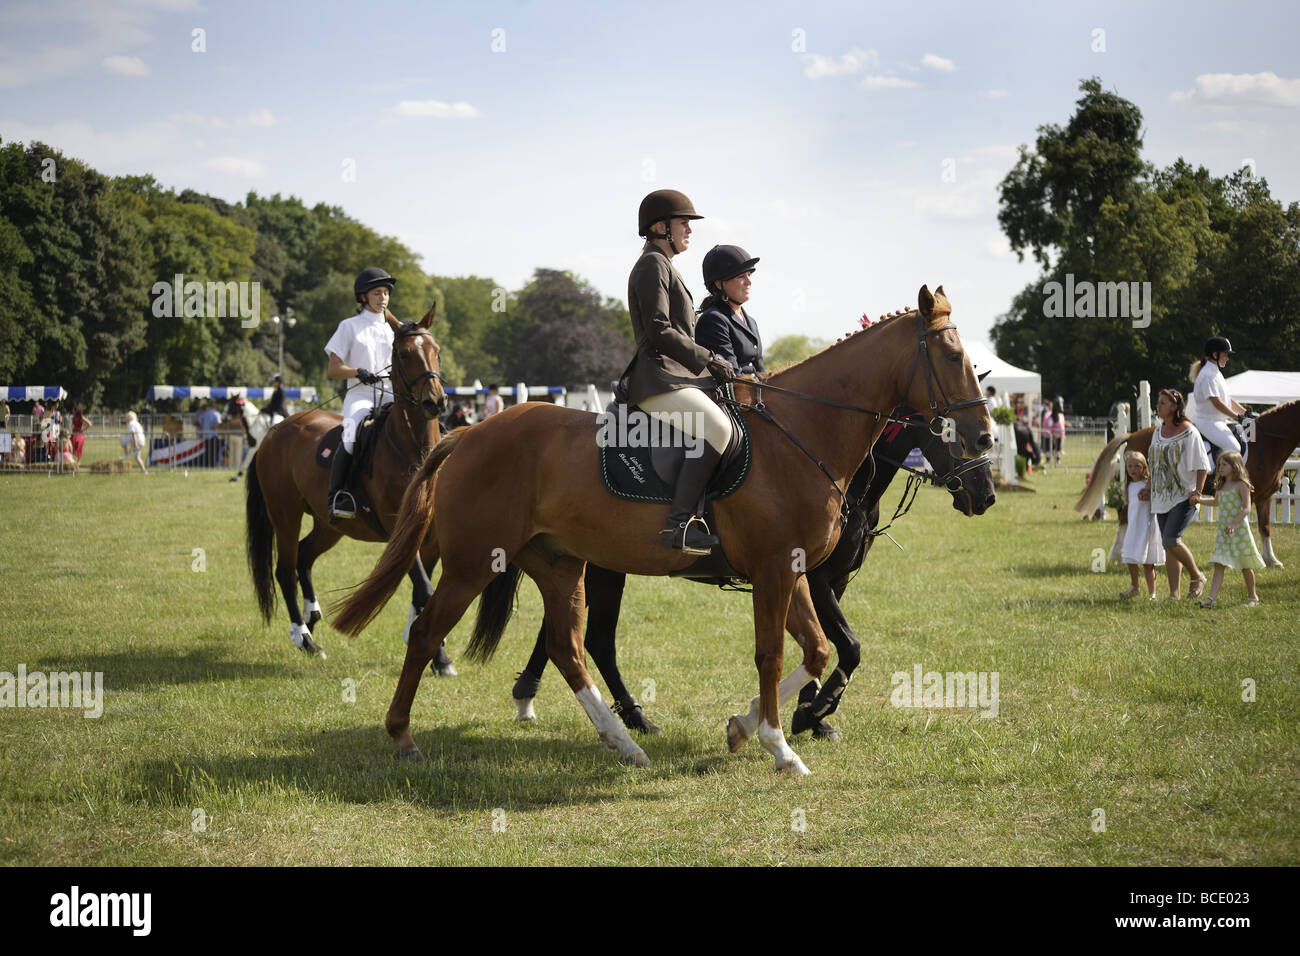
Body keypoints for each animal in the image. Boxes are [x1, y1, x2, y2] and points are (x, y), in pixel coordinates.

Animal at [245, 304, 449, 658]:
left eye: (435, 351)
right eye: (405, 354)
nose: (434, 402)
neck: (415, 450)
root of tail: (275, 430)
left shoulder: (431, 535)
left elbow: (422, 594)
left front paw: (426, 646)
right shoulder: (398, 529)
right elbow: (424, 589)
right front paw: (441, 658)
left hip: (329, 525)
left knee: (304, 556)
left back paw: (312, 617)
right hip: (285, 513)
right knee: (285, 568)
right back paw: (304, 637)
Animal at [506, 400, 993, 738]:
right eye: (950, 428)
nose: (985, 494)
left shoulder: (829, 581)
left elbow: (826, 644)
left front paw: (807, 714)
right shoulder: (813, 579)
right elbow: (847, 646)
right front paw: (810, 713)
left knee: (570, 635)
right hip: (603, 569)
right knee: (594, 640)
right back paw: (622, 716)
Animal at [1076, 398, 1300, 564]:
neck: (1266, 442)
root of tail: (1133, 434)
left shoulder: (1264, 497)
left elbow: (1265, 527)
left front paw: (1271, 560)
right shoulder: (1248, 496)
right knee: (1124, 514)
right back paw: (1117, 555)